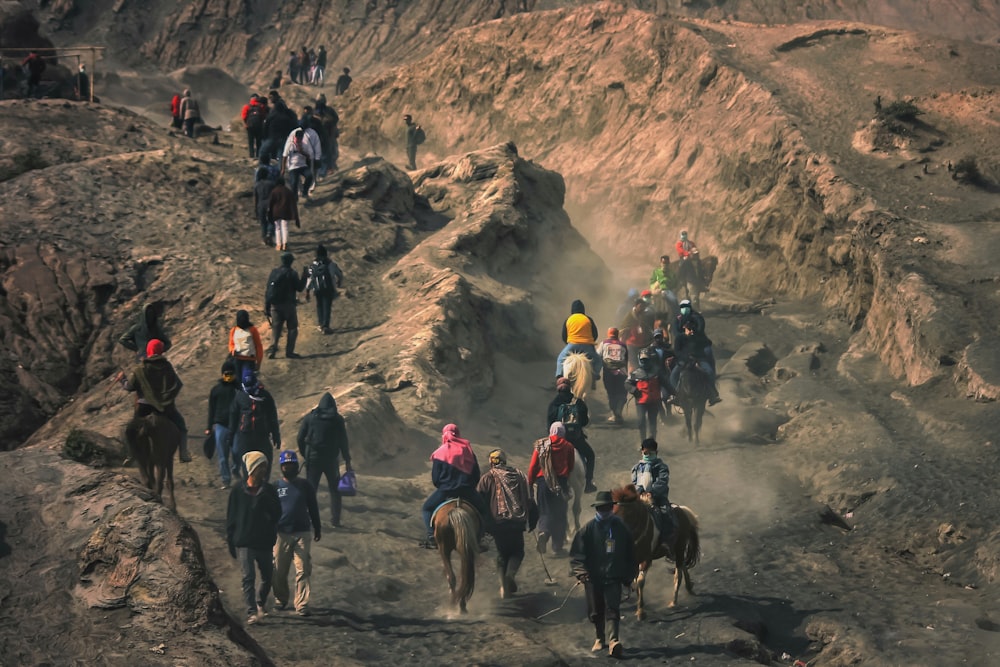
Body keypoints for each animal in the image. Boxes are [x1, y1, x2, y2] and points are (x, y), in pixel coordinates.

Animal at [612, 486, 700, 620]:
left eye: (627, 512)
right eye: (613, 510)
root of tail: (683, 512)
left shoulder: (646, 560)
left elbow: (640, 582)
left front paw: (641, 612)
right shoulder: (633, 562)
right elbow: (635, 581)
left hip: (679, 548)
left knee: (678, 573)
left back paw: (673, 602)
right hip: (673, 551)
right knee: (683, 565)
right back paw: (689, 586)